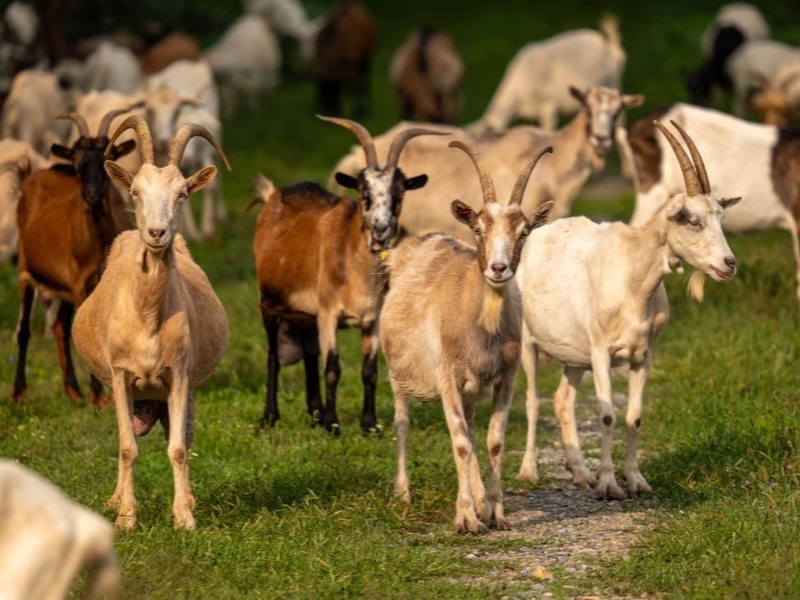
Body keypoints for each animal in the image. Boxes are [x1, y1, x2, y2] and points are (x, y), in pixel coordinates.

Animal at [13, 107, 137, 407]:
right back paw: (18, 392)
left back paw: (73, 391)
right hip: (25, 272)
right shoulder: (79, 282)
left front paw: (107, 394)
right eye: (78, 161)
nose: (92, 193)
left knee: (59, 326)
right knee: (24, 330)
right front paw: (99, 396)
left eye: (107, 158)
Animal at [72, 116, 230, 530]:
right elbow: (126, 447)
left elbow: (177, 448)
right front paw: (127, 517)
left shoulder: (178, 375)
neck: (147, 319)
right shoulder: (121, 376)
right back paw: (114, 500)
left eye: (182, 193)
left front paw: (184, 517)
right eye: (136, 192)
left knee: (183, 438)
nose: (157, 233)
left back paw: (188, 499)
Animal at [253, 116, 445, 434]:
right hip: (268, 303)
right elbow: (332, 368)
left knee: (309, 354)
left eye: (398, 194)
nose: (380, 228)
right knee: (272, 358)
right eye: (363, 193)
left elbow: (370, 371)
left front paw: (369, 425)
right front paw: (332, 424)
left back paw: (314, 412)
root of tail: (273, 196)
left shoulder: (372, 320)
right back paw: (271, 415)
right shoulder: (328, 314)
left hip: (305, 315)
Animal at [381, 140, 553, 533]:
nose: (498, 268)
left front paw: (494, 512)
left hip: (472, 389)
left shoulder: (506, 376)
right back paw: (403, 492)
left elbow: (493, 441)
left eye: (524, 232)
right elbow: (459, 442)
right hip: (398, 373)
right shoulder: (447, 376)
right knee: (402, 422)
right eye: (478, 228)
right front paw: (465, 519)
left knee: (474, 432)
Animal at [517, 121, 739, 498]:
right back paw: (529, 471)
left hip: (575, 356)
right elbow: (607, 415)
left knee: (562, 400)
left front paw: (635, 481)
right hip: (527, 342)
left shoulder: (642, 355)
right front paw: (609, 485)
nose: (729, 264)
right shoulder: (601, 353)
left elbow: (634, 416)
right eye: (692, 220)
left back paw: (580, 474)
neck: (633, 281)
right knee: (532, 401)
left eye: (721, 218)